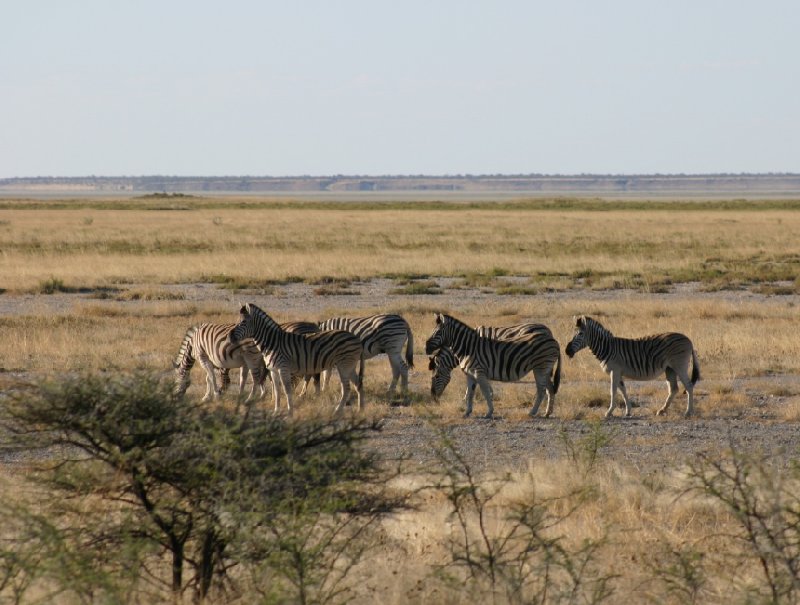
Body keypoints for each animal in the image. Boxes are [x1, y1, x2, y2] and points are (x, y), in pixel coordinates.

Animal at [424, 314, 564, 418]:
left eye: (435, 377)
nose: (433, 398)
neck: (467, 347)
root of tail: (552, 338)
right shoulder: (471, 374)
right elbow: (470, 393)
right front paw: (467, 412)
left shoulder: (479, 371)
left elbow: (485, 391)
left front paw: (489, 411)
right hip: (545, 368)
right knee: (550, 388)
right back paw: (547, 413)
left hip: (540, 367)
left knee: (541, 390)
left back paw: (532, 412)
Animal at [564, 314, 700, 418]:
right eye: (573, 333)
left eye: (580, 334)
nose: (567, 351)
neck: (608, 348)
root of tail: (688, 339)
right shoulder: (618, 372)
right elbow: (623, 390)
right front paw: (628, 411)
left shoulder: (615, 370)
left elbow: (613, 390)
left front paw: (609, 412)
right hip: (670, 369)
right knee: (673, 389)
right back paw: (662, 410)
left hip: (680, 365)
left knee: (688, 385)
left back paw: (688, 412)